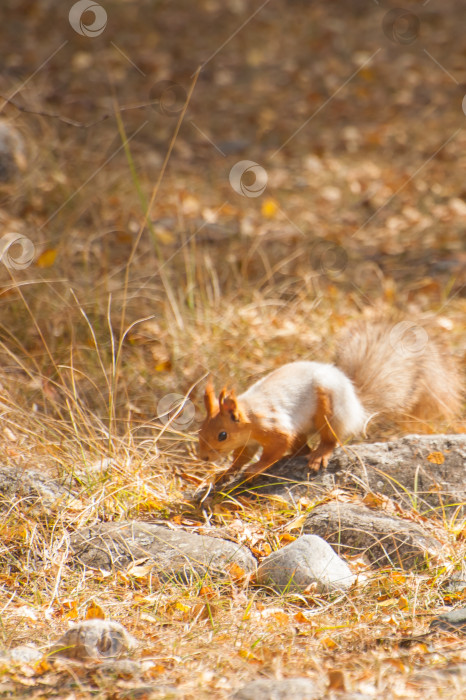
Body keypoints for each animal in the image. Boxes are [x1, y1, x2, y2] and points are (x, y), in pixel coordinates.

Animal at [198, 318, 464, 486]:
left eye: (222, 435)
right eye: (199, 431)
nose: (204, 459)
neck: (249, 416)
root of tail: (356, 406)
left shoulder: (273, 427)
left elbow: (274, 449)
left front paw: (255, 468)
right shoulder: (248, 442)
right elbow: (241, 457)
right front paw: (227, 472)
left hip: (329, 408)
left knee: (329, 439)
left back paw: (319, 454)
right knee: (301, 448)